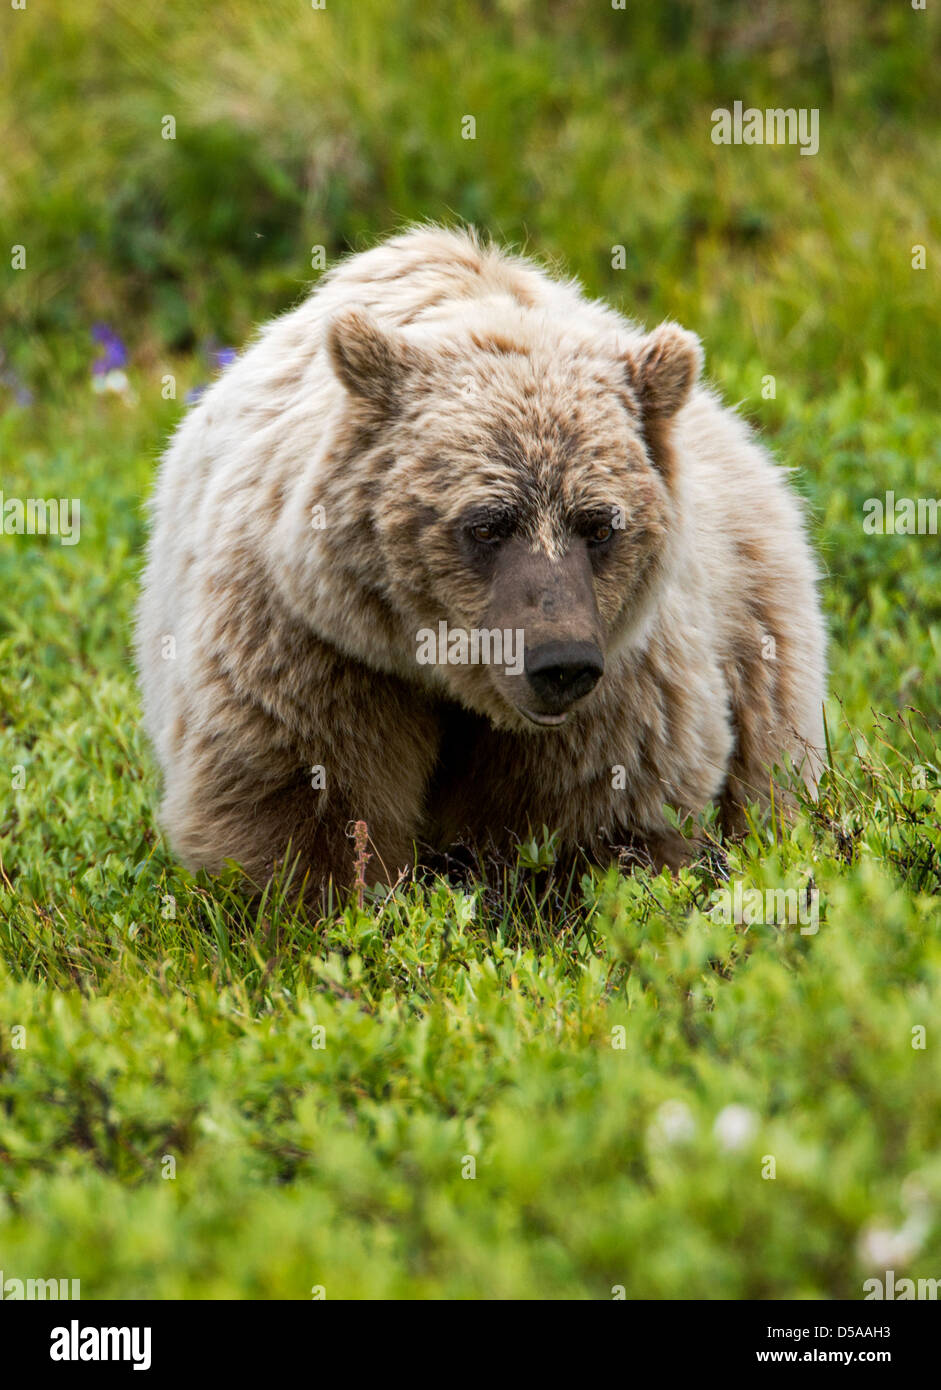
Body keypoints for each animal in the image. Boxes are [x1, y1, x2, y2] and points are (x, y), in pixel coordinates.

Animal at [135, 224, 826, 894]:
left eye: (600, 525)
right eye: (488, 524)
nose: (561, 664)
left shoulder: (626, 674)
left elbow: (601, 809)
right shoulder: (310, 642)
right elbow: (303, 802)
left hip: (757, 629)